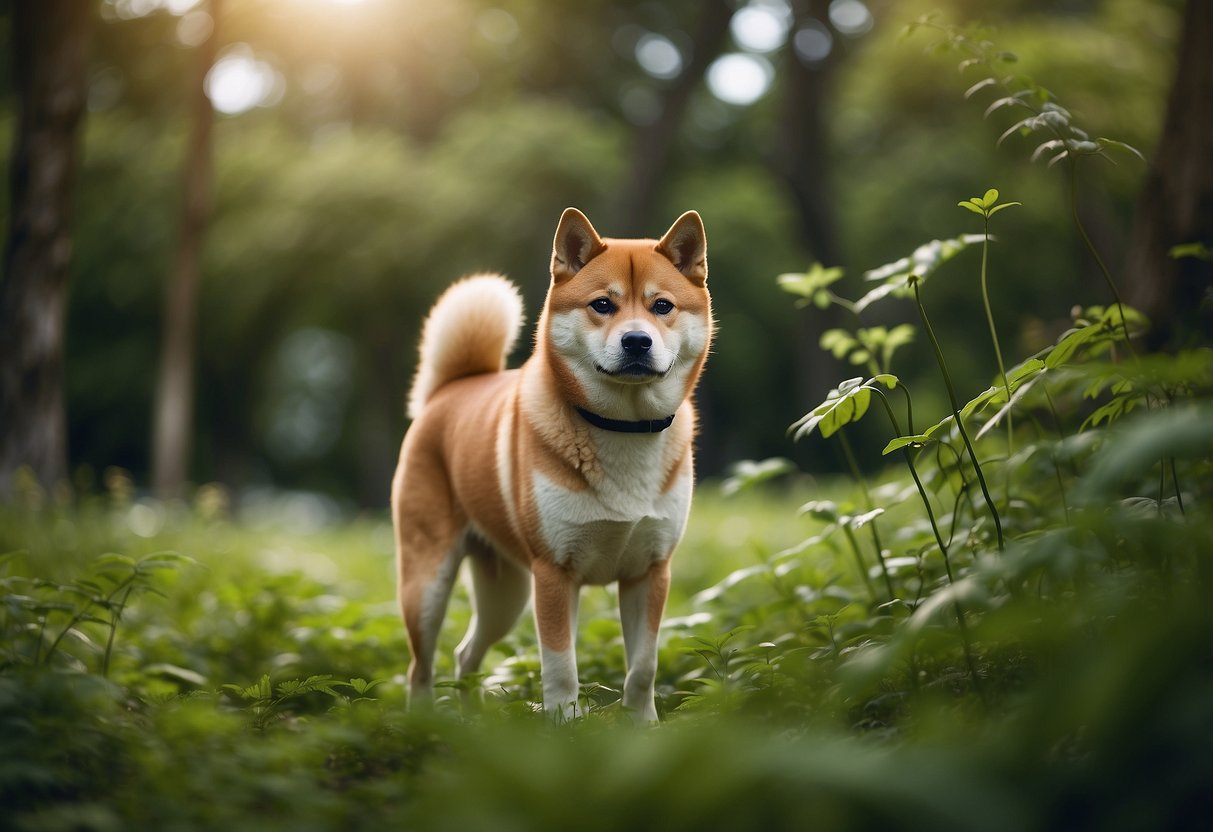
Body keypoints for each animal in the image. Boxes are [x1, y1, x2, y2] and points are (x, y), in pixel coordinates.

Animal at [393, 204, 708, 717]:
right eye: (602, 305)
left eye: (662, 306)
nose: (637, 341)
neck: (621, 429)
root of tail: (453, 387)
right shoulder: (556, 574)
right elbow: (561, 669)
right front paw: (565, 725)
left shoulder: (649, 571)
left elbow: (643, 668)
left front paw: (644, 725)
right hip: (429, 586)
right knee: (420, 667)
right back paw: (423, 721)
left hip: (506, 595)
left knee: (465, 654)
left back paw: (470, 718)